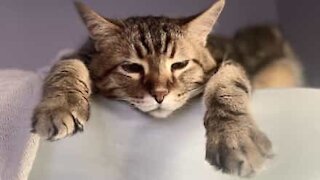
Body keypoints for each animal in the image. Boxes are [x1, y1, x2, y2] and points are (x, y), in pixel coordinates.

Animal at [31, 0, 304, 177]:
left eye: (180, 64)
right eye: (131, 67)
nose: (160, 94)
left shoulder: (231, 62)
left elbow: (227, 84)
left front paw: (234, 136)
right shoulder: (79, 54)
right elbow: (66, 66)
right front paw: (59, 106)